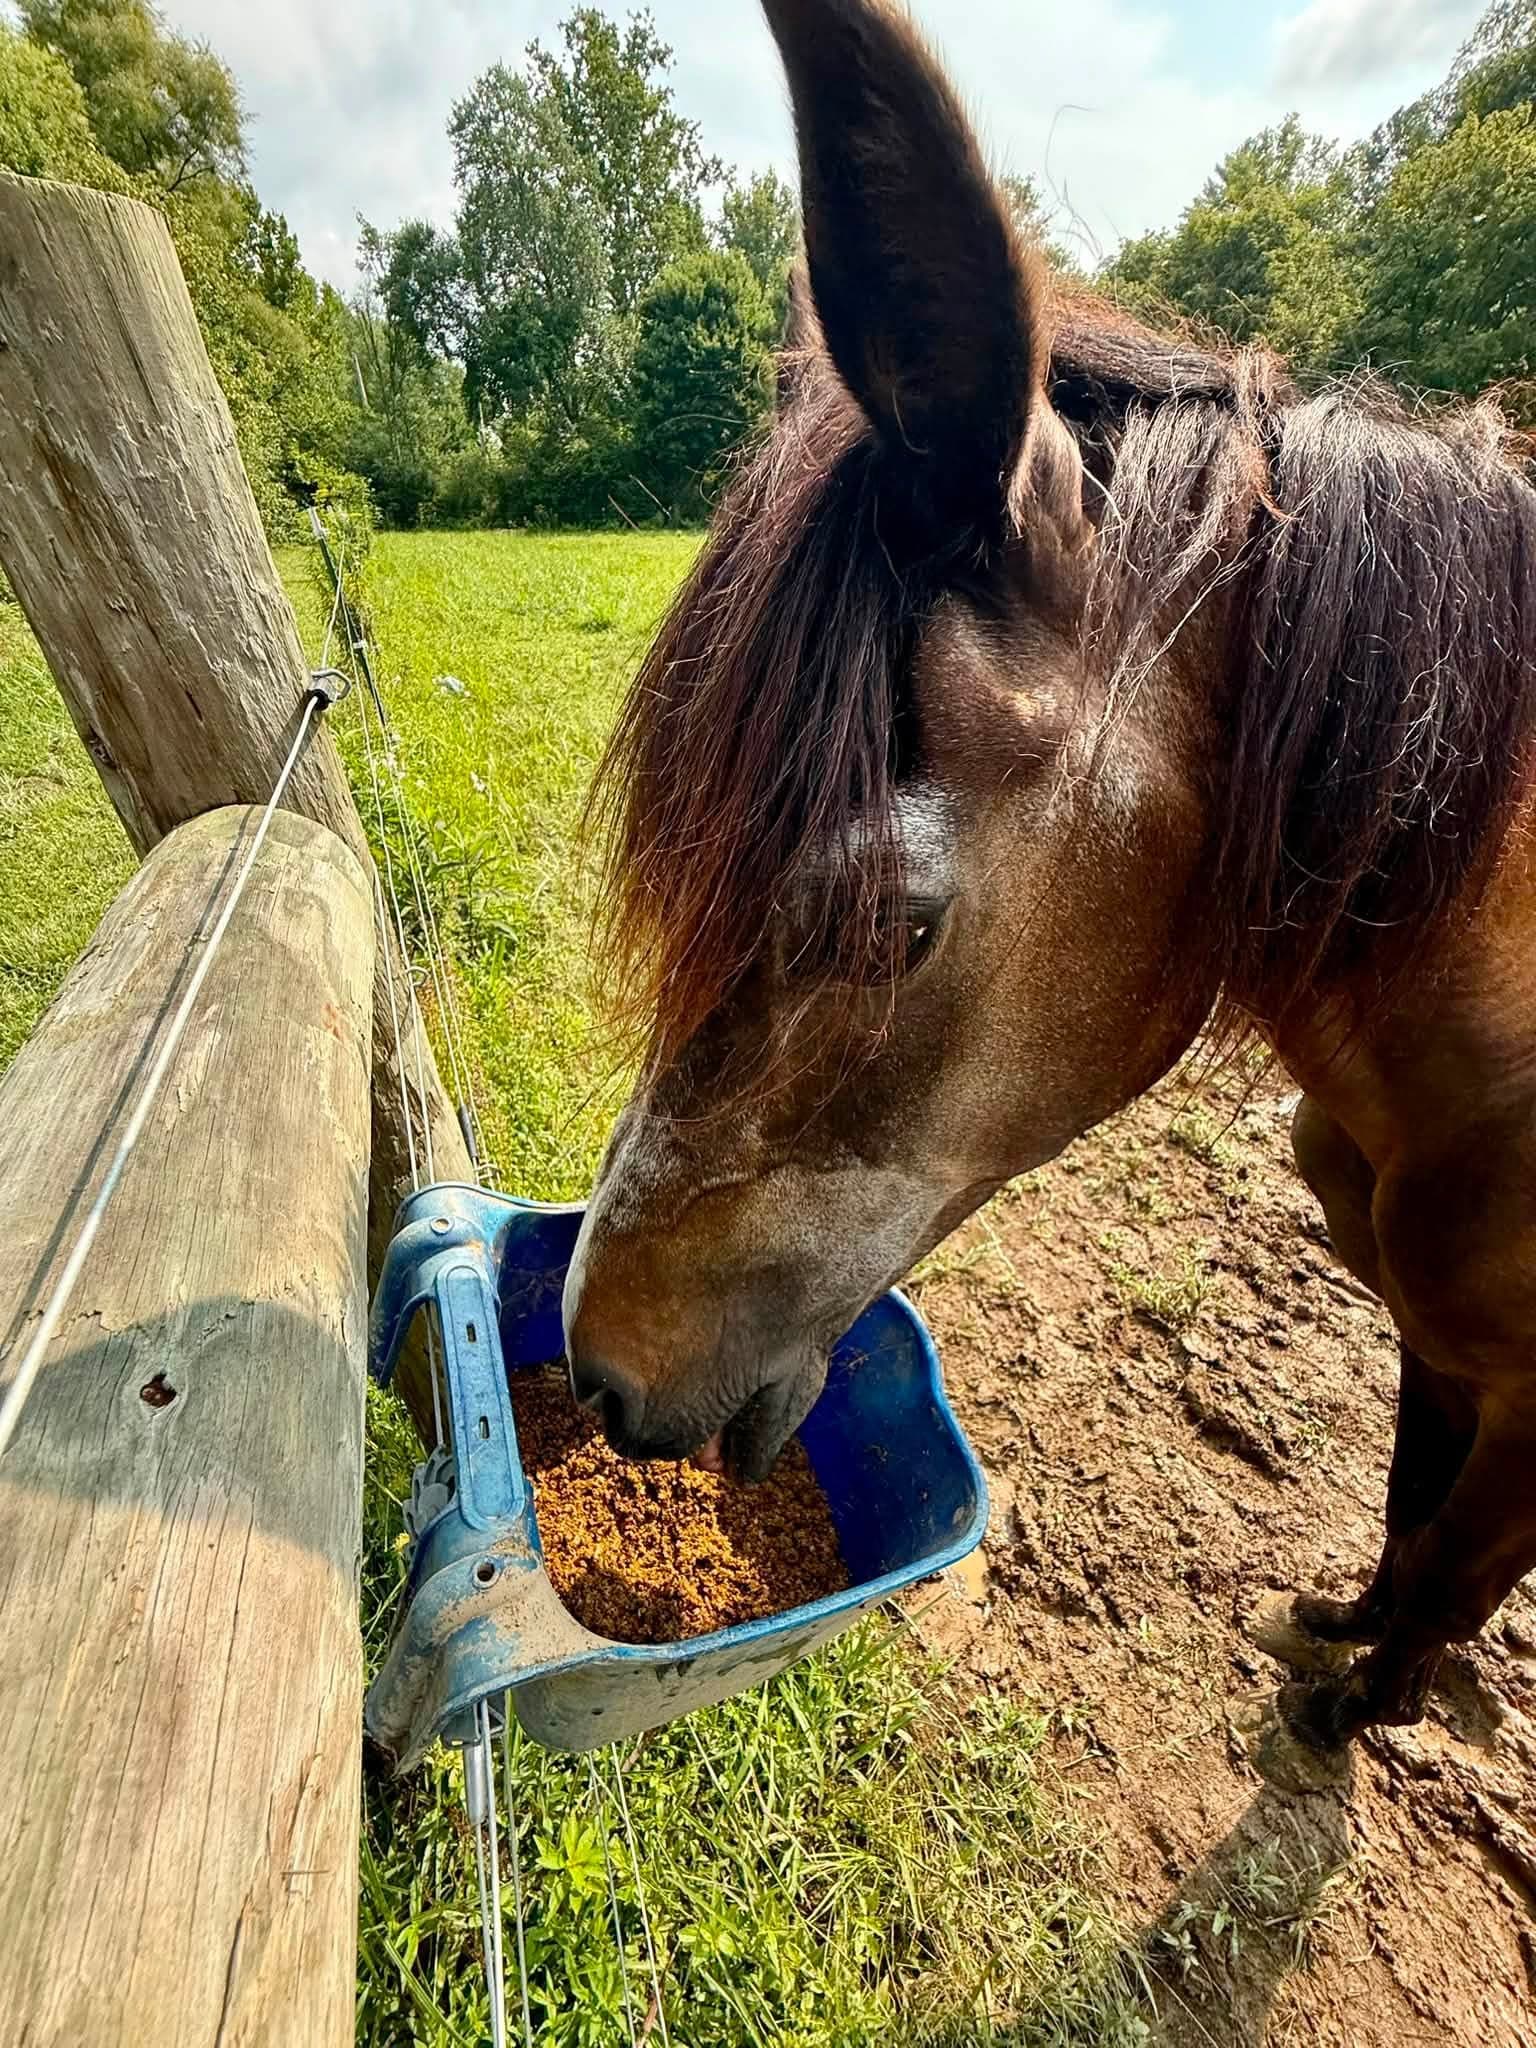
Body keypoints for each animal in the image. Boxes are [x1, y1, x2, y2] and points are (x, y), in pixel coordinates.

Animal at [563, 0, 1536, 1750]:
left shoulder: (1529, 1421)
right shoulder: (1441, 1351)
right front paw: (1341, 1636)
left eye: (892, 923)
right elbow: (1403, 1519)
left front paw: (1359, 1711)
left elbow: (1447, 1567)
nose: (594, 1371)